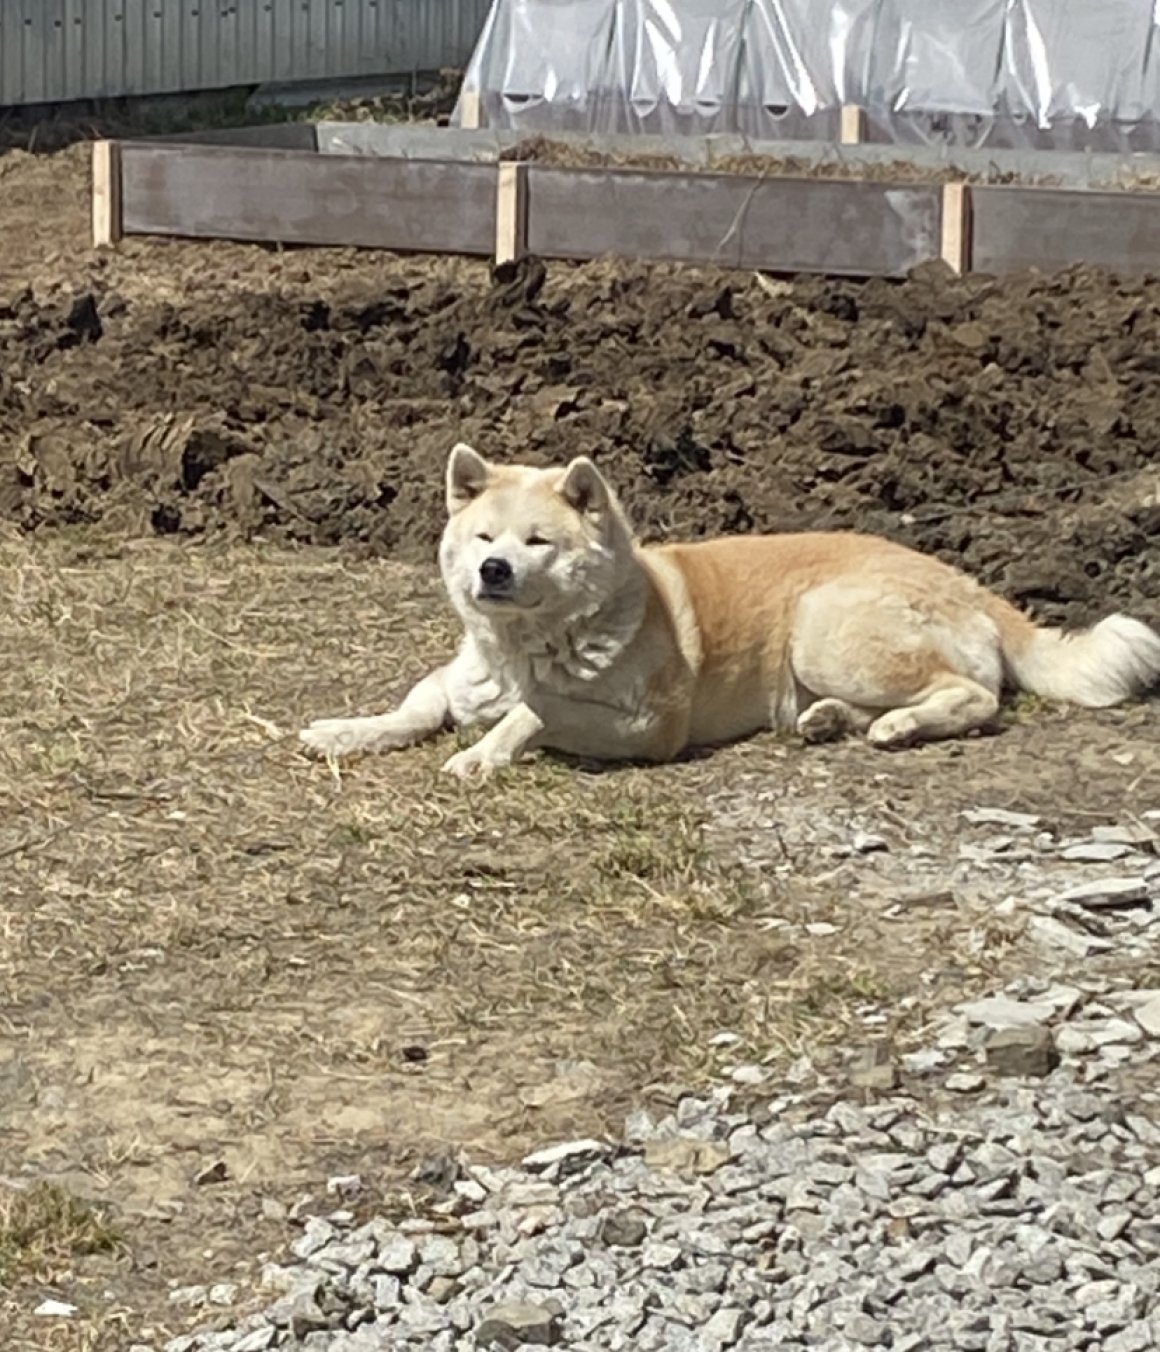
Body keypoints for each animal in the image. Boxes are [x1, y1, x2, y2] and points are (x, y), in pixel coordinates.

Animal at [296, 446, 1157, 784]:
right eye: (482, 537)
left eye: (538, 541)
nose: (493, 570)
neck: (526, 646)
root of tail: (971, 581)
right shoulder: (457, 683)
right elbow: (410, 710)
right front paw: (345, 731)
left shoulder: (650, 728)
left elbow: (535, 712)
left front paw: (483, 753)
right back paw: (830, 721)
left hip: (821, 625)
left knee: (974, 695)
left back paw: (899, 726)